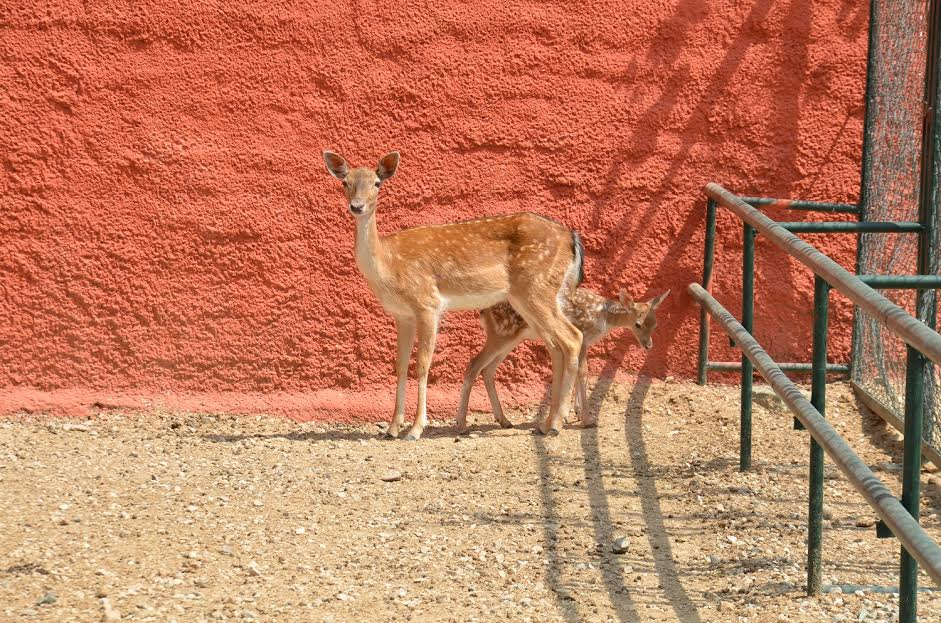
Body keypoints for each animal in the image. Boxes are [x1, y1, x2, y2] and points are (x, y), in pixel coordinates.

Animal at [326, 152, 584, 442]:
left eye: (377, 183)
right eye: (345, 182)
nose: (357, 206)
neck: (388, 265)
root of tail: (571, 237)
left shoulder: (427, 303)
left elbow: (422, 364)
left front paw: (415, 429)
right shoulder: (402, 315)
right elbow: (400, 365)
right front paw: (392, 429)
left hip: (536, 289)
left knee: (572, 338)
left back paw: (556, 424)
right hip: (531, 297)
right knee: (555, 346)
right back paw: (544, 424)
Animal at [458, 288, 668, 432]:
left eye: (655, 324)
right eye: (638, 324)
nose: (648, 345)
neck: (603, 318)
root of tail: (483, 311)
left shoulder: (584, 343)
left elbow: (579, 372)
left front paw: (575, 413)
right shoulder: (582, 335)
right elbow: (583, 372)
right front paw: (586, 418)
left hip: (511, 337)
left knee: (488, 369)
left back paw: (504, 420)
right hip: (501, 334)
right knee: (474, 364)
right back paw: (461, 425)